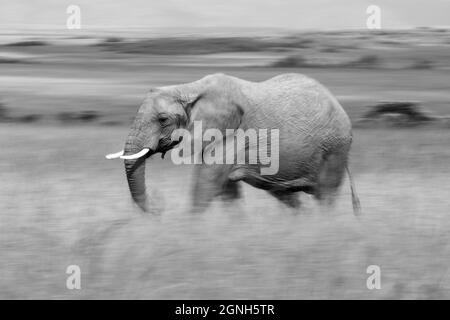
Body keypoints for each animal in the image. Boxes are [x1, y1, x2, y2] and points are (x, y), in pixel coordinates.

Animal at [104, 73, 358, 215]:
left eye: (163, 119)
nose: (160, 203)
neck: (188, 87)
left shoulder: (233, 135)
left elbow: (207, 184)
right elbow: (227, 192)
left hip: (334, 148)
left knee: (325, 196)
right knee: (288, 196)